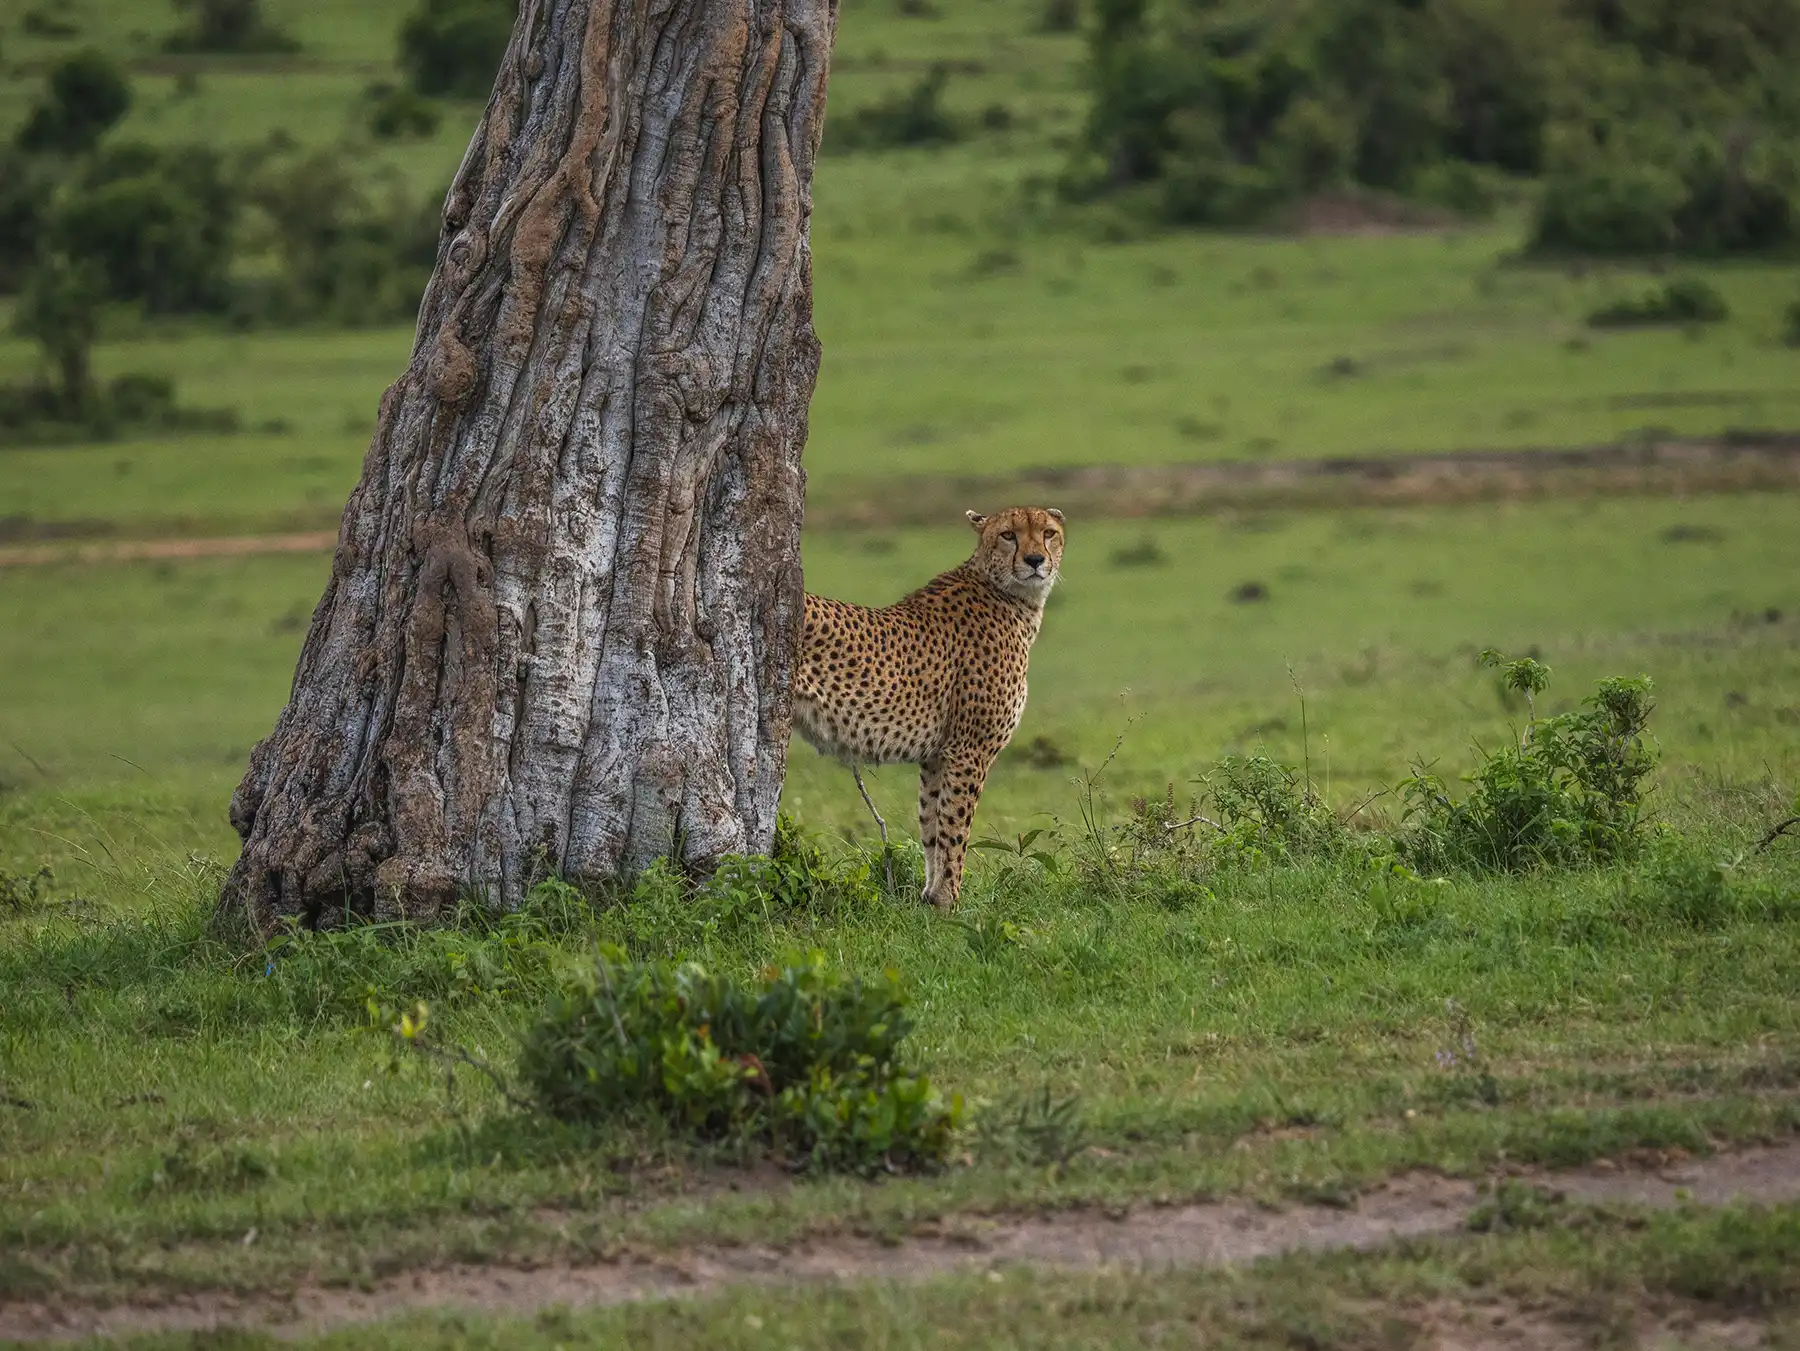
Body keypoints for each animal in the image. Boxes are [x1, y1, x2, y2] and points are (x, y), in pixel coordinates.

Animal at [791, 506, 1066, 911]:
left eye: (1048, 533)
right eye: (1008, 535)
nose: (1035, 560)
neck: (1008, 593)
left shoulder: (938, 755)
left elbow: (933, 823)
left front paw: (931, 897)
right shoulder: (969, 750)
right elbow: (956, 827)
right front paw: (949, 901)